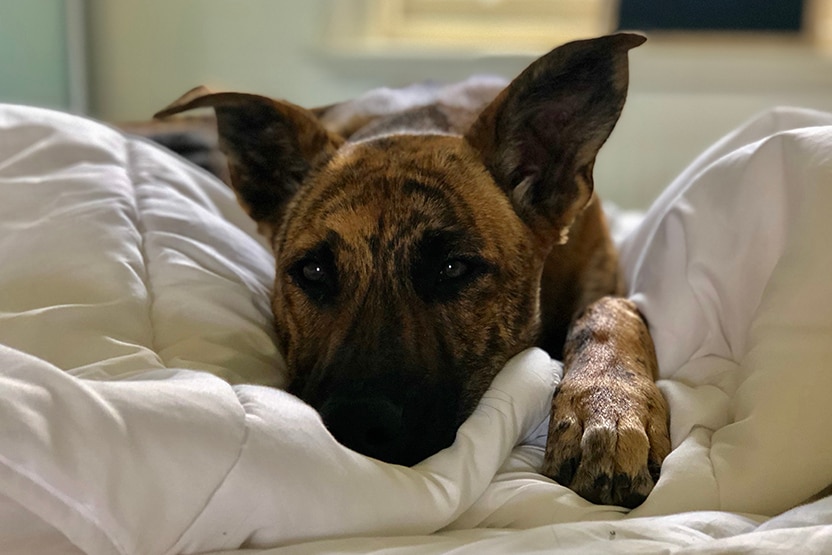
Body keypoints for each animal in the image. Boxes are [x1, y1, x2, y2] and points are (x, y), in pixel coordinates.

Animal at [156, 32, 672, 510]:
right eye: (313, 271)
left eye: (453, 268)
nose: (356, 425)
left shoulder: (602, 278)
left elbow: (606, 313)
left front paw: (608, 406)